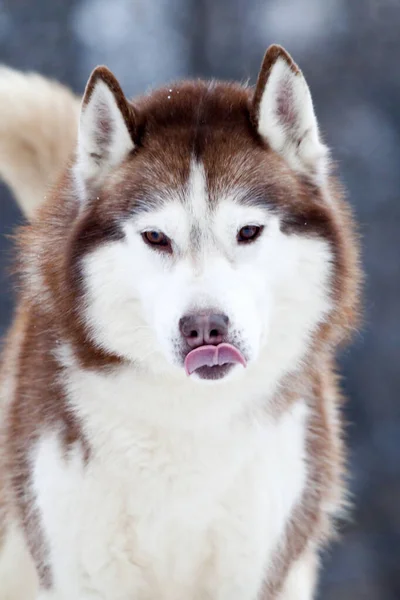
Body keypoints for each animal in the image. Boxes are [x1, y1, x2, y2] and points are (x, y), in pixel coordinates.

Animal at [0, 44, 360, 596]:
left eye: (248, 231)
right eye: (156, 237)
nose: (206, 328)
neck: (191, 416)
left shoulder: (254, 568)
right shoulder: (82, 567)